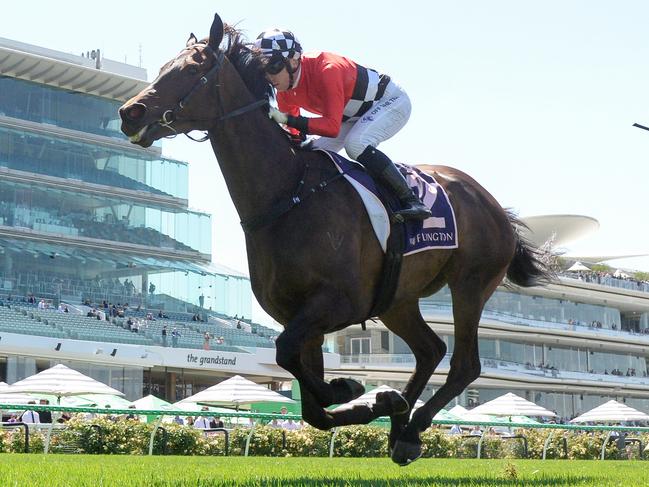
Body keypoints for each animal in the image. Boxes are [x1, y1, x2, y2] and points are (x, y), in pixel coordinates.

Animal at [119, 14, 548, 466]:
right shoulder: (299, 316)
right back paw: (400, 425)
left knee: (465, 364)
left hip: (470, 285)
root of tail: (492, 203)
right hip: (397, 300)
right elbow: (310, 406)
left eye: (190, 70)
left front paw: (354, 388)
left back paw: (411, 428)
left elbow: (285, 356)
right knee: (431, 349)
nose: (130, 112)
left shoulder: (337, 303)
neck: (288, 193)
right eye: (164, 67)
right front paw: (376, 398)